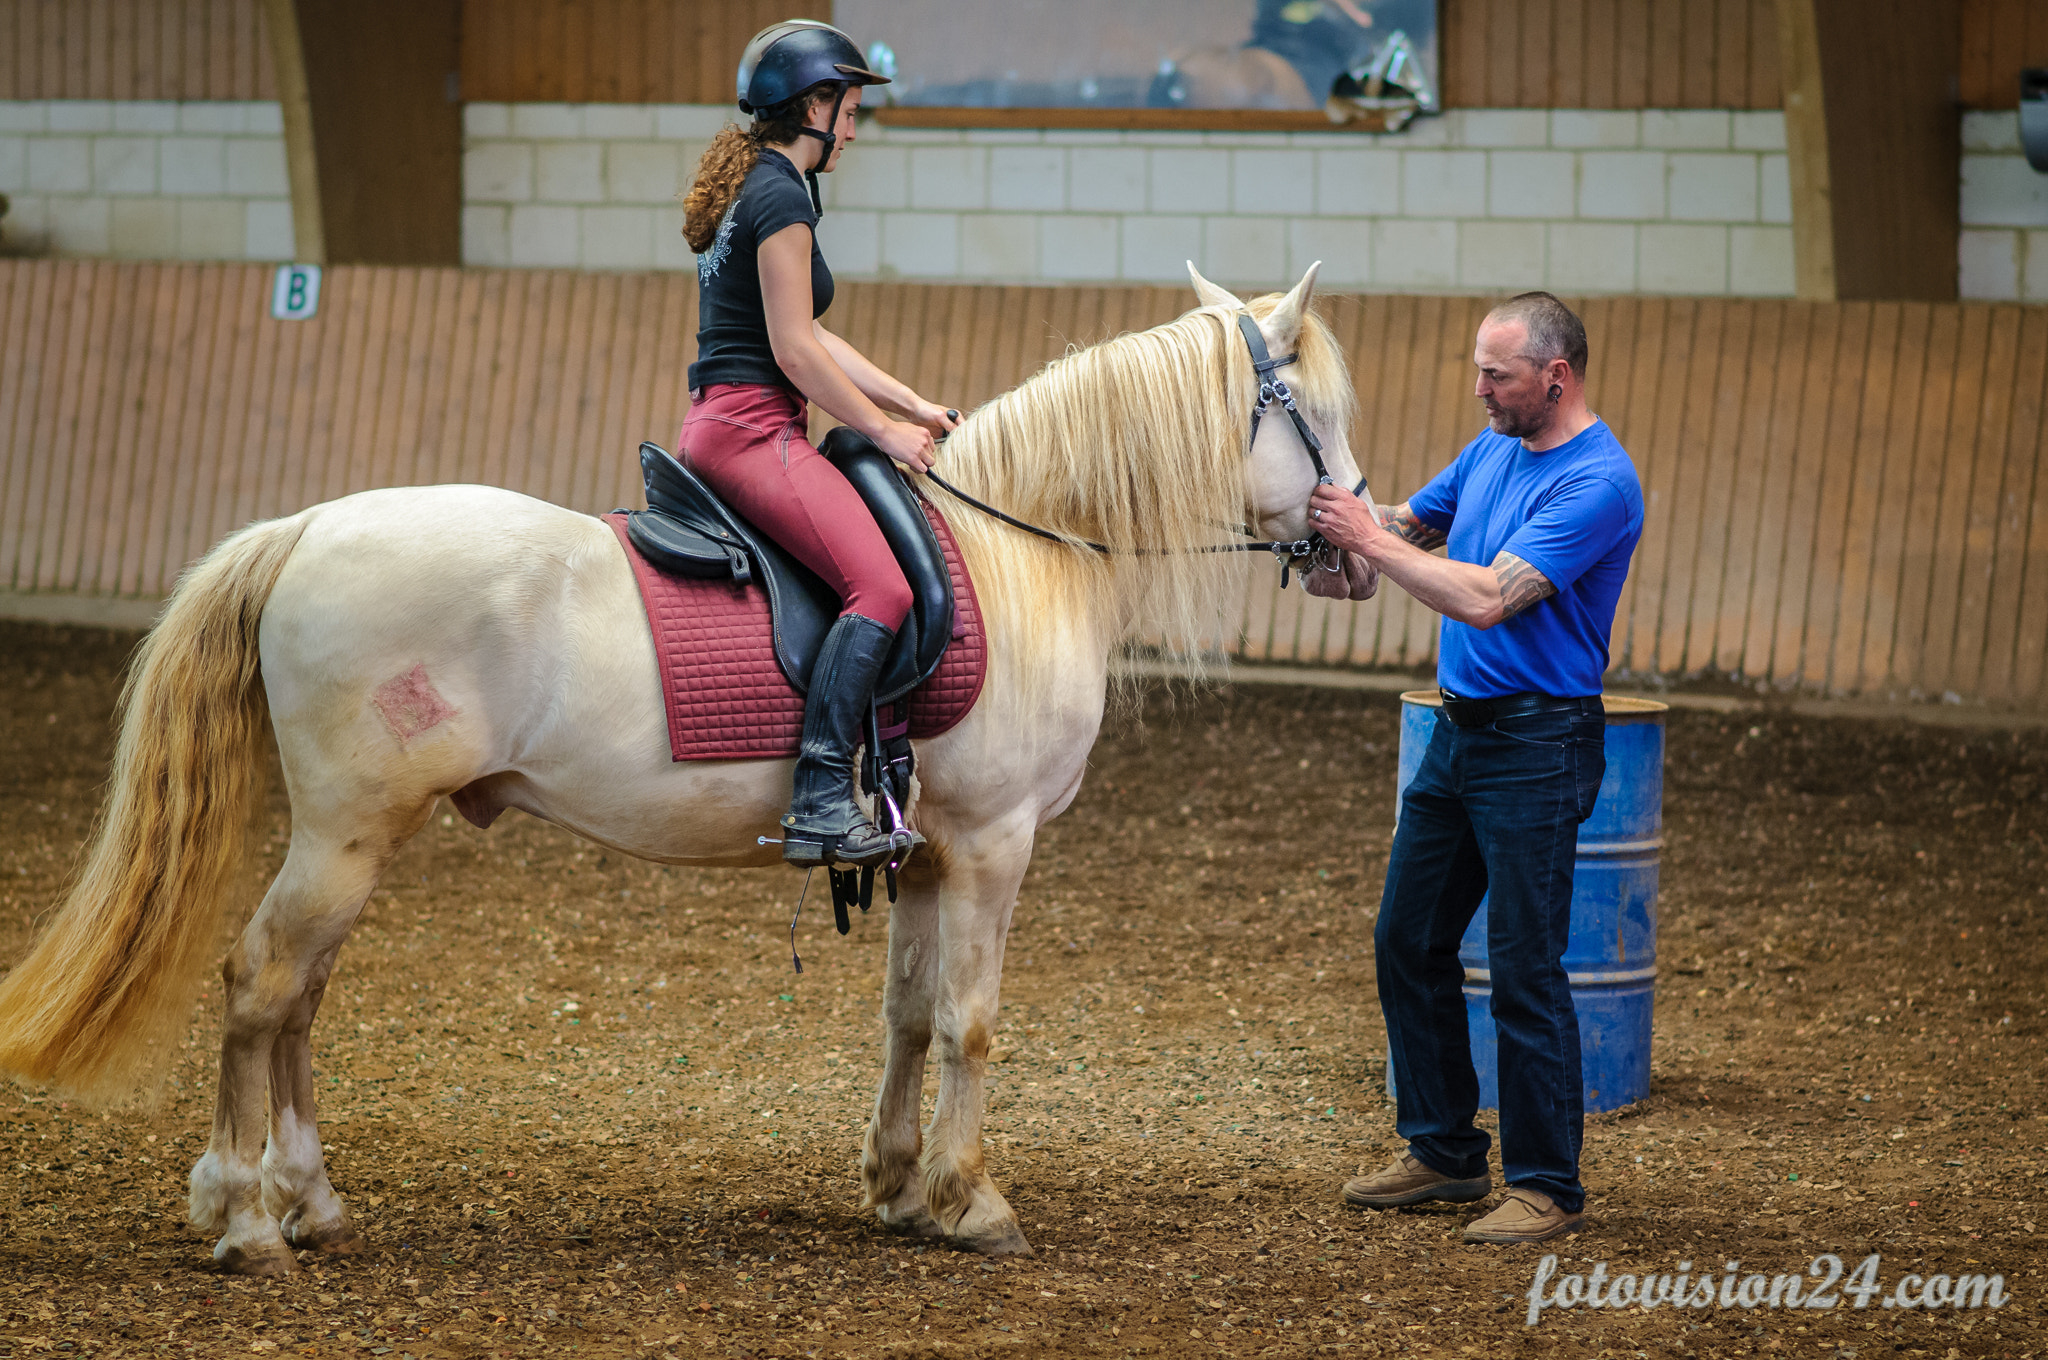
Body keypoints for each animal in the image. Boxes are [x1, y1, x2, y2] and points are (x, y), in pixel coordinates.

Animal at [0, 262, 1376, 1278]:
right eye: (1315, 415)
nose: (1361, 543)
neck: (1012, 547)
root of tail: (307, 529)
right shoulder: (993, 842)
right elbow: (971, 1022)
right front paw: (971, 1202)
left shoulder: (926, 851)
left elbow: (908, 1012)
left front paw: (897, 1189)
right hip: (346, 832)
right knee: (261, 982)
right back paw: (244, 1218)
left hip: (355, 835)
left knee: (299, 995)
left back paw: (309, 1199)